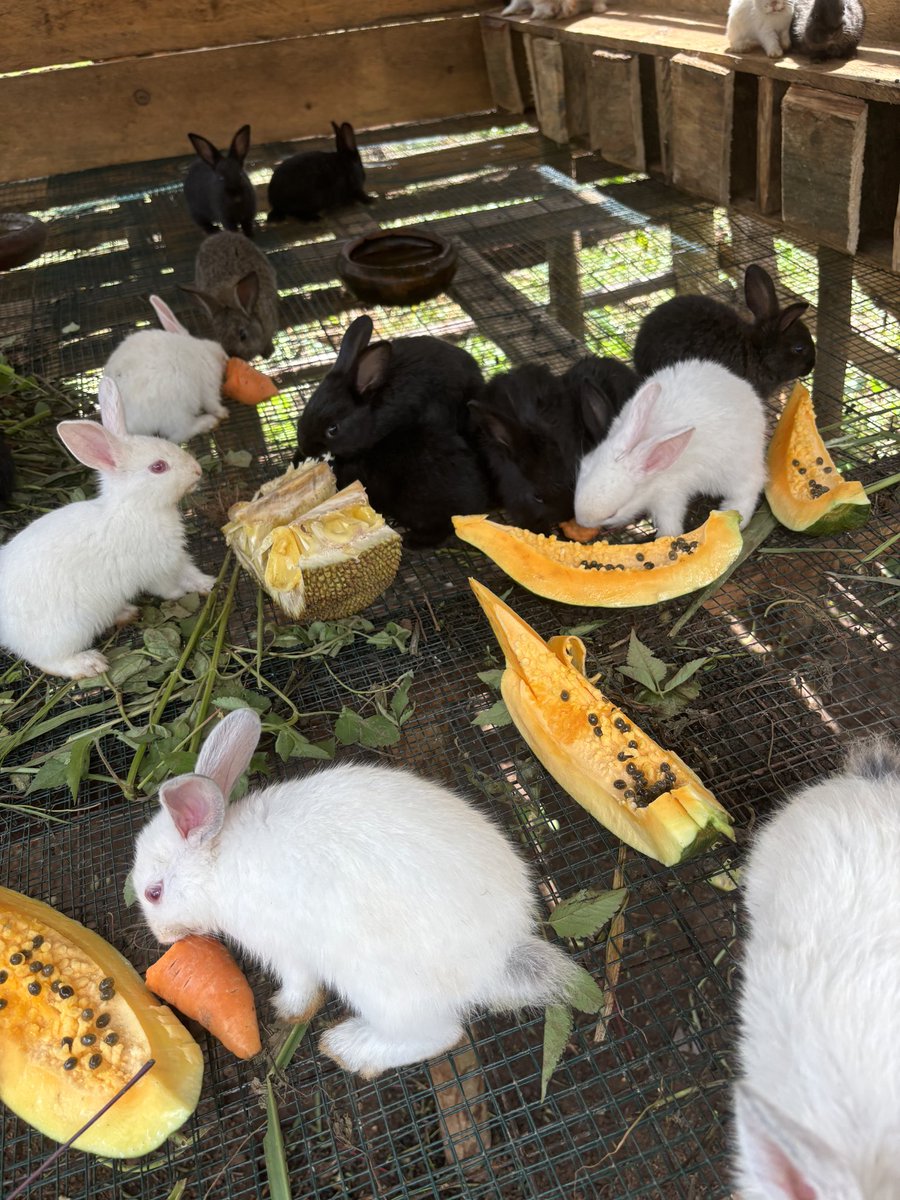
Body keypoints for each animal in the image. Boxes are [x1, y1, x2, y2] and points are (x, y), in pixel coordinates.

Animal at [0, 379, 215, 680]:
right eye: (158, 467)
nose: (197, 471)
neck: (135, 508)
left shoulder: (176, 558)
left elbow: (190, 572)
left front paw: (208, 583)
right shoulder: (155, 570)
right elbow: (167, 587)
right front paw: (178, 594)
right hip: (67, 631)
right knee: (48, 661)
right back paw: (89, 663)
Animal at [104, 295, 230, 443]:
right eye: (222, 357)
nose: (226, 357)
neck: (202, 349)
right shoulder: (209, 386)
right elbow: (213, 404)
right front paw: (224, 412)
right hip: (178, 410)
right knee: (178, 435)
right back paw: (207, 422)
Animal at [132, 707, 578, 1078]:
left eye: (154, 893)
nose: (162, 938)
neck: (218, 863)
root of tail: (498, 960)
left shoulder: (285, 950)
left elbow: (300, 987)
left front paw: (285, 1010)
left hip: (381, 990)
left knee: (441, 1035)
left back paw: (348, 1047)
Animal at [573, 358, 767, 535]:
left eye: (612, 513)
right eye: (582, 472)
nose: (582, 521)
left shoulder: (669, 494)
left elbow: (670, 520)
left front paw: (666, 536)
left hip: (735, 467)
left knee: (750, 486)